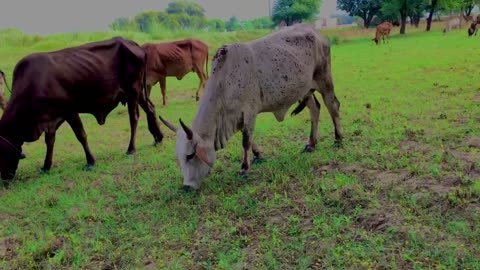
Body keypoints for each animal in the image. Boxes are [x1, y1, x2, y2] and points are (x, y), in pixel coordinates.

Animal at [0, 35, 163, 181]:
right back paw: (158, 138)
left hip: (133, 91)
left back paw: (131, 149)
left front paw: (90, 162)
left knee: (134, 118)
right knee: (151, 109)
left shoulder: (69, 111)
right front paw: (46, 166)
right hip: (138, 93)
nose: (4, 178)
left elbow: (81, 135)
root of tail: (132, 43)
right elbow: (50, 141)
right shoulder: (50, 119)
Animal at [159, 24, 344, 191]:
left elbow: (246, 140)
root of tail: (316, 32)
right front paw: (258, 156)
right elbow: (249, 138)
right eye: (179, 157)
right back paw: (311, 144)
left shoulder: (249, 111)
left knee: (332, 105)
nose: (187, 187)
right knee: (315, 109)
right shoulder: (238, 116)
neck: (224, 82)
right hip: (305, 90)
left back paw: (338, 139)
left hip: (324, 80)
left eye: (190, 155)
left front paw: (244, 168)